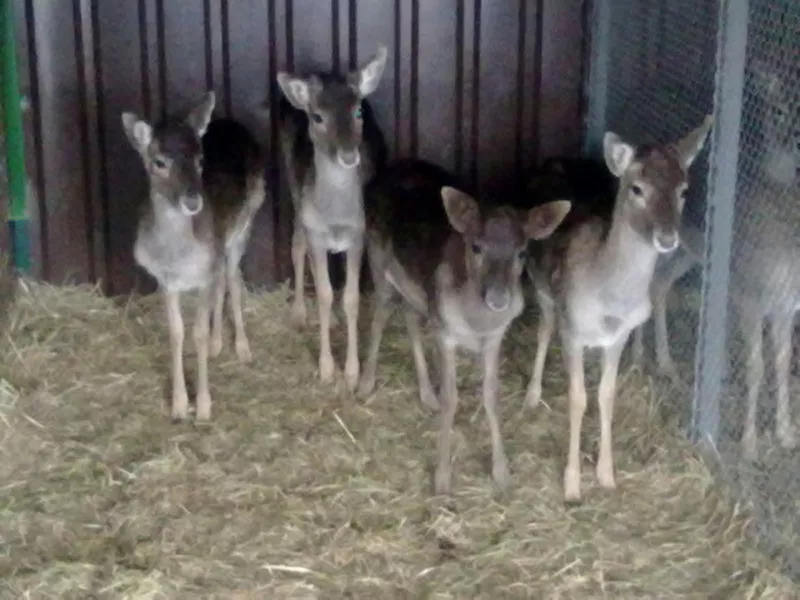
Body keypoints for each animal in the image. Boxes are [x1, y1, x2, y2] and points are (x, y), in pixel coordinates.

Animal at [120, 94, 266, 422]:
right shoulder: (165, 280)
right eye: (159, 162)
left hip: (245, 222)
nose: (192, 200)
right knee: (223, 281)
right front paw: (177, 406)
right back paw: (217, 344)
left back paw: (242, 349)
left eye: (200, 160)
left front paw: (203, 407)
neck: (177, 256)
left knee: (232, 278)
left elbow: (197, 333)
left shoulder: (203, 272)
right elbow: (176, 333)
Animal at [276, 44, 390, 390]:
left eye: (358, 112)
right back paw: (300, 313)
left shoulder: (358, 234)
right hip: (292, 182)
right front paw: (328, 369)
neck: (336, 216)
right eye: (317, 116)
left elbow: (350, 297)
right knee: (296, 242)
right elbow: (325, 293)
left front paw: (351, 372)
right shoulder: (315, 230)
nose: (349, 154)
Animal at [360, 158, 572, 492]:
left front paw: (502, 473)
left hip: (416, 288)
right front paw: (442, 478)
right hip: (377, 261)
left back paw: (426, 395)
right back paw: (365, 383)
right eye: (476, 247)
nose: (498, 297)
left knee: (409, 317)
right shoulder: (445, 333)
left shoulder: (495, 337)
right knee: (380, 315)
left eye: (523, 251)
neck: (477, 323)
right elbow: (452, 398)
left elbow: (491, 396)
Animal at [524, 117, 712, 502]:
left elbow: (605, 396)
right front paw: (572, 485)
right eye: (637, 188)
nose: (667, 238)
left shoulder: (619, 336)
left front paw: (607, 475)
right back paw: (532, 395)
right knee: (543, 330)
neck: (610, 300)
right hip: (543, 289)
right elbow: (577, 398)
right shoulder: (573, 330)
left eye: (684, 190)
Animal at [632, 57, 800, 460]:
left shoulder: (789, 304)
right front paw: (750, 442)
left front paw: (786, 433)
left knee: (660, 287)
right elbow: (755, 365)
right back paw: (639, 358)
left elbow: (782, 362)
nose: (794, 137)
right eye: (777, 108)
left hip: (689, 250)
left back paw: (667, 364)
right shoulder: (749, 294)